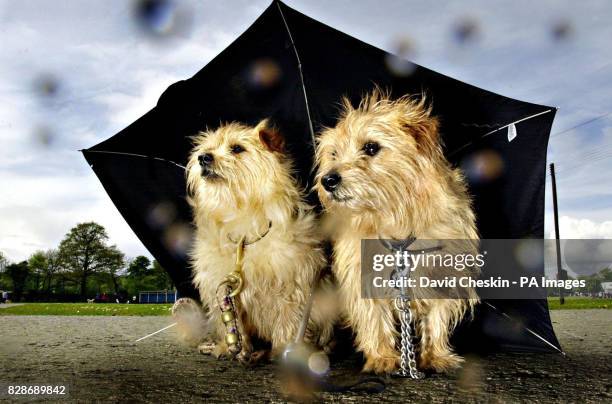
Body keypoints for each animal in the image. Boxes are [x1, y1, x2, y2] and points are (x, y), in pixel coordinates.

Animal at [183, 119, 334, 360]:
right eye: (206, 149)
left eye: (237, 148)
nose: (203, 157)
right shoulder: (221, 289)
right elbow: (230, 324)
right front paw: (229, 347)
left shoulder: (292, 287)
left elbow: (289, 321)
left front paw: (282, 349)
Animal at [316, 90, 478, 374]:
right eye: (334, 154)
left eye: (371, 147)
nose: (328, 180)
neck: (396, 222)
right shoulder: (362, 276)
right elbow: (374, 319)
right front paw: (382, 357)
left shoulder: (444, 274)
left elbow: (437, 317)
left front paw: (436, 356)